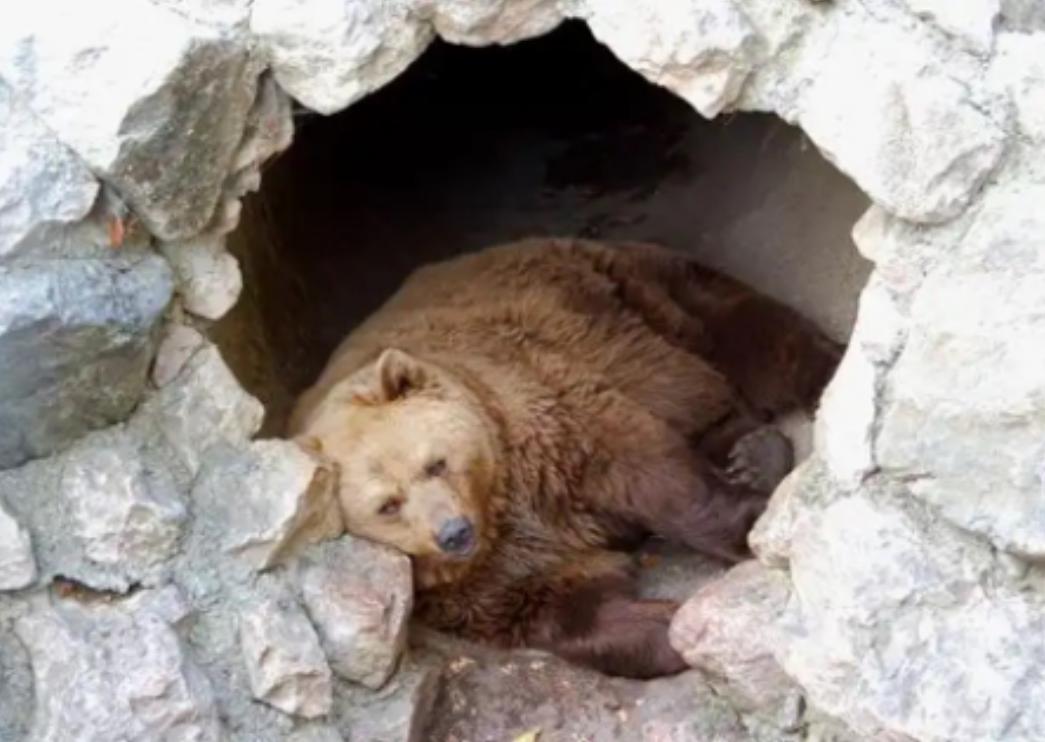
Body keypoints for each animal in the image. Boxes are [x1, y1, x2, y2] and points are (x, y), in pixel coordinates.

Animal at [288, 237, 841, 679]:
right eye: (387, 505)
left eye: (434, 463)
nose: (454, 533)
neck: (500, 503)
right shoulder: (478, 582)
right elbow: (563, 605)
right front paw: (667, 627)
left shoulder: (547, 418)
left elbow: (652, 473)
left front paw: (746, 528)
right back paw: (752, 453)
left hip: (628, 298)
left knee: (742, 333)